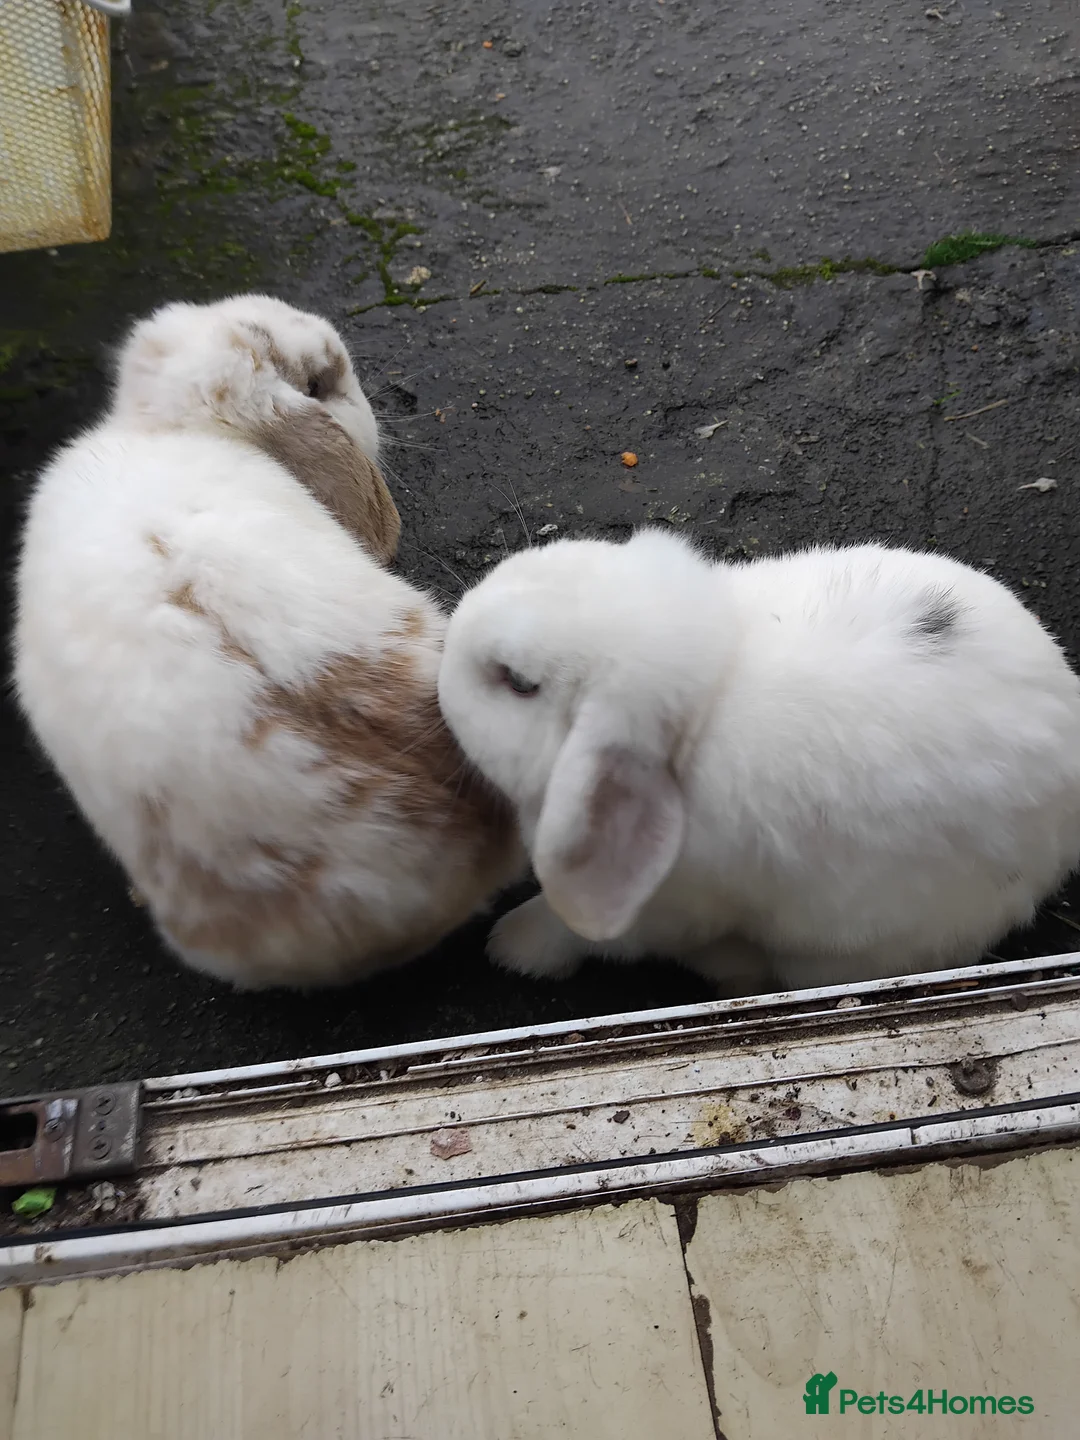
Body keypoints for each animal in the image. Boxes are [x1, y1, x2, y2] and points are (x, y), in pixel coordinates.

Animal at [437, 527, 1080, 995]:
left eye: (519, 683)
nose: (454, 629)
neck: (709, 698)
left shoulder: (663, 911)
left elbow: (575, 931)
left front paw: (512, 947)